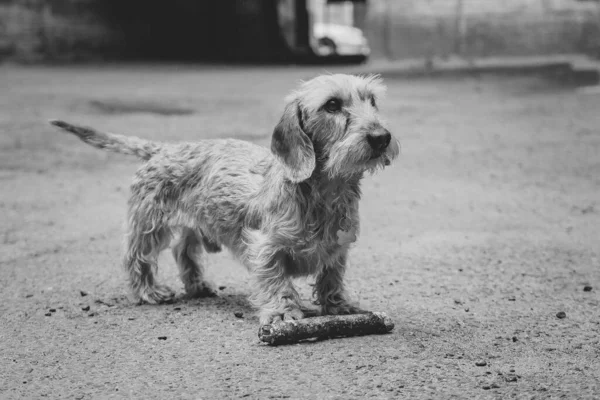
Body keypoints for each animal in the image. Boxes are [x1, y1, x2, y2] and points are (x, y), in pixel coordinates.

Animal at [50, 74, 398, 324]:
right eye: (332, 105)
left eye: (372, 100)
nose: (381, 138)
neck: (325, 192)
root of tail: (165, 149)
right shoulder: (266, 247)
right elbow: (276, 281)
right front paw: (283, 312)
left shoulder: (337, 249)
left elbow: (331, 277)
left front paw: (339, 305)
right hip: (149, 223)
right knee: (138, 257)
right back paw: (148, 291)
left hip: (195, 223)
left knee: (183, 250)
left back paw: (197, 285)